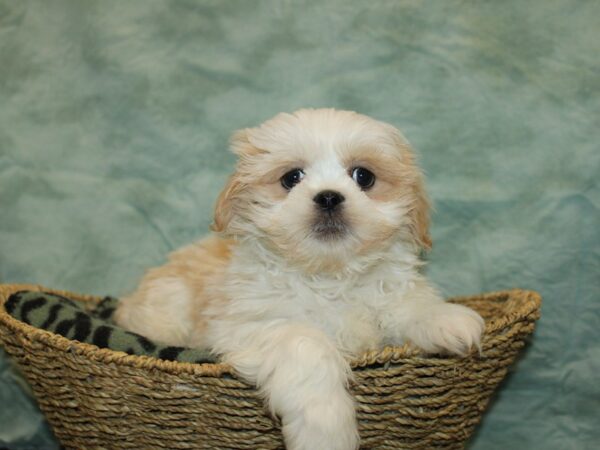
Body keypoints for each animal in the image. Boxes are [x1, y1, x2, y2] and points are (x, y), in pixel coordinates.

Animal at [115, 108, 486, 450]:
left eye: (363, 176)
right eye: (292, 177)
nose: (329, 196)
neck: (327, 274)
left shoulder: (387, 294)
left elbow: (409, 302)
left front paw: (446, 319)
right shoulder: (251, 324)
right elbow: (305, 344)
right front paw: (326, 429)